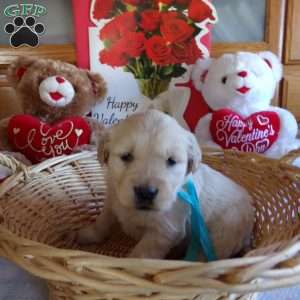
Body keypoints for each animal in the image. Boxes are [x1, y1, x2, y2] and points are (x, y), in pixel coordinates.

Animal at [77, 109, 253, 258]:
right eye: (126, 156)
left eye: (171, 161)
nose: (146, 193)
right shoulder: (113, 199)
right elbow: (102, 221)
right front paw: (86, 234)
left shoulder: (164, 231)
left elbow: (141, 254)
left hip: (223, 233)